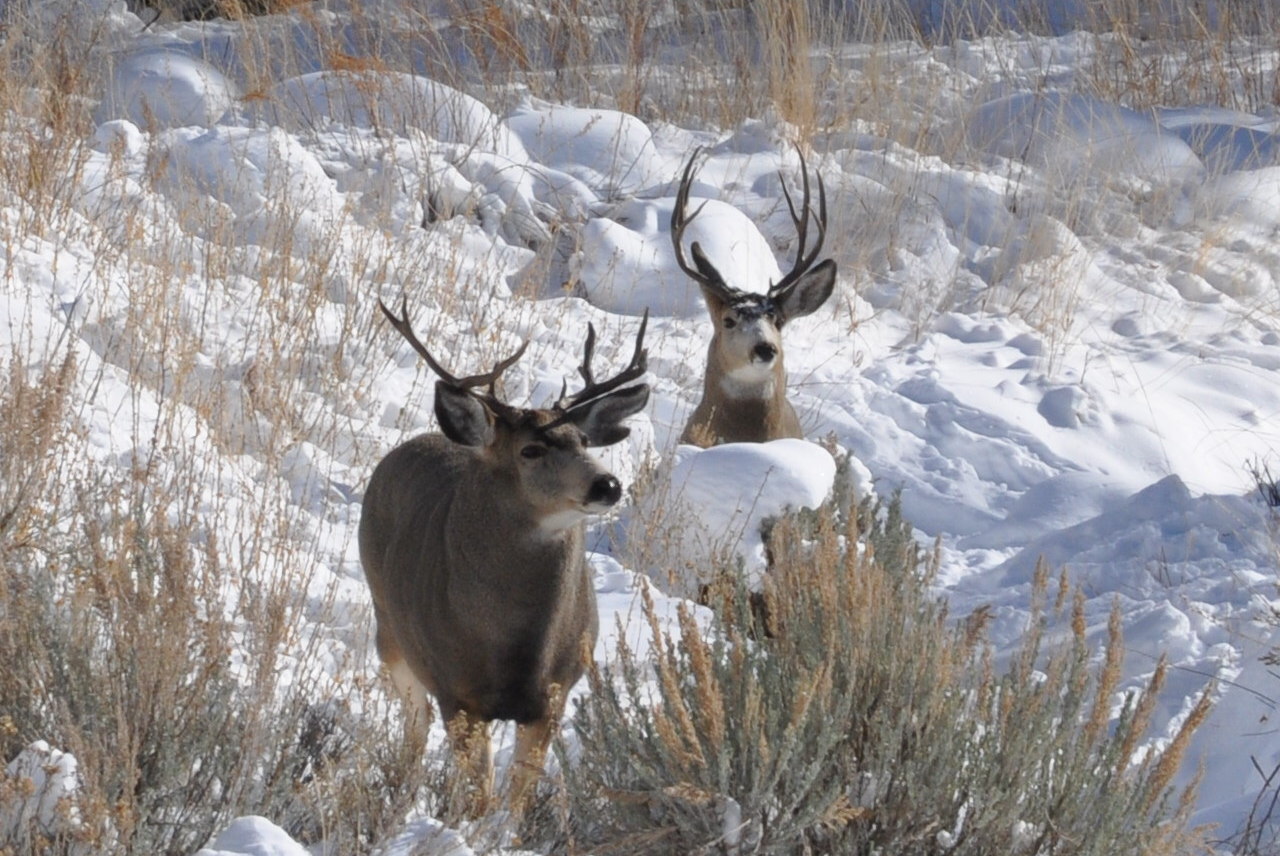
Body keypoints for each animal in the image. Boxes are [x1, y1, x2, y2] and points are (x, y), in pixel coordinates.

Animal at [360, 301, 650, 813]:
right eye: (530, 449)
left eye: (583, 441)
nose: (608, 484)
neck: (515, 650)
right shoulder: (456, 692)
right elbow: (480, 795)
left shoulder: (555, 693)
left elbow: (516, 798)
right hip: (390, 633)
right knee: (414, 725)